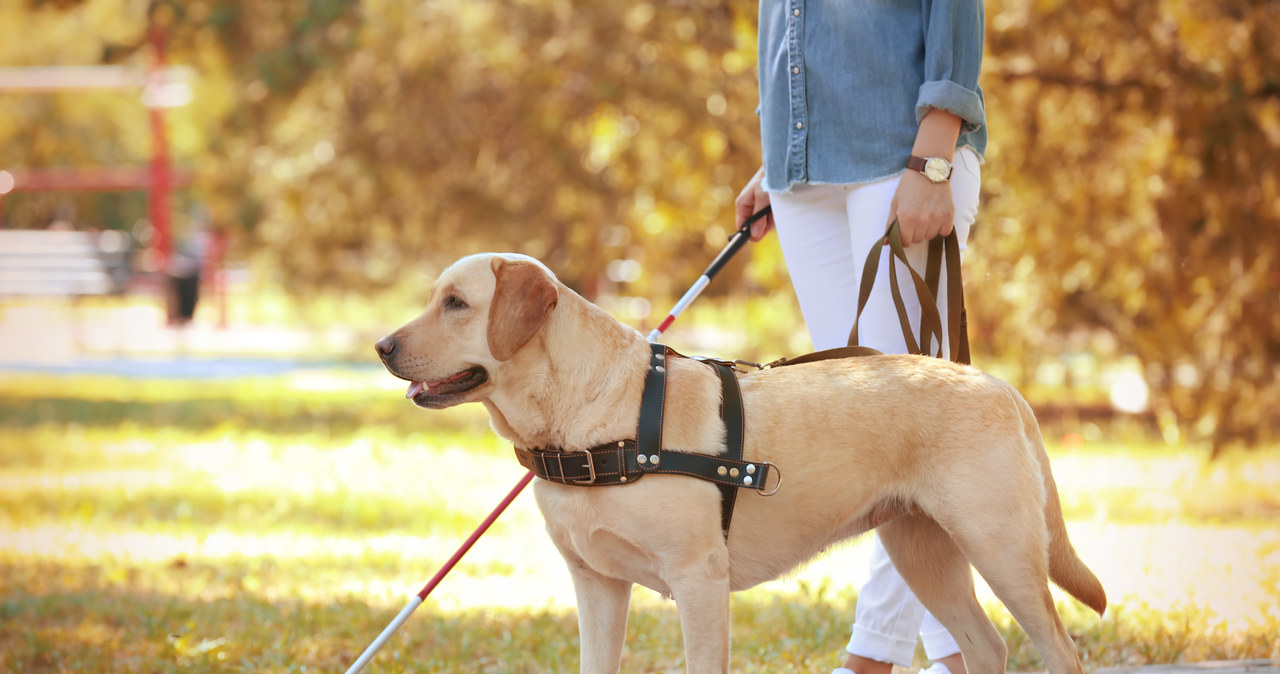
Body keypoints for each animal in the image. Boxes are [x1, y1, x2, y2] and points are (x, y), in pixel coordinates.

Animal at [373, 254, 1105, 674]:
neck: (591, 417)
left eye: (456, 304)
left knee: (1059, 649)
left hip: (1001, 550)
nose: (381, 346)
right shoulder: (597, 583)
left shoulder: (699, 580)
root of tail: (998, 384)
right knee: (986, 647)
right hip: (923, 551)